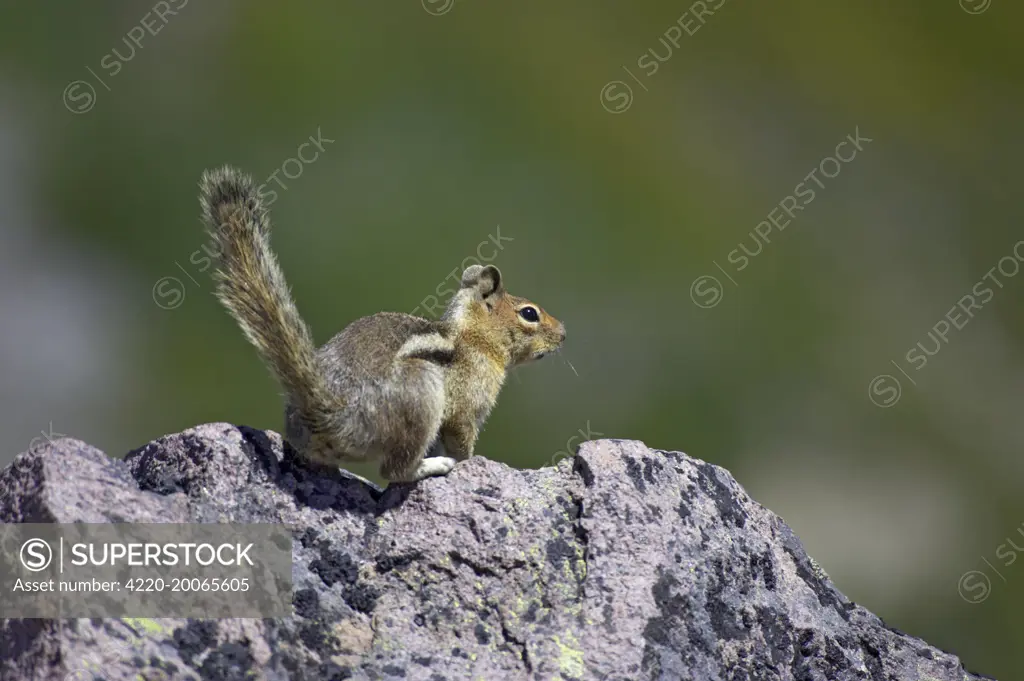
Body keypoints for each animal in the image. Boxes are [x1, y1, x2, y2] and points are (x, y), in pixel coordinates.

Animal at [197, 166, 569, 481]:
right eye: (530, 313)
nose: (564, 334)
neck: (473, 338)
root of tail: (329, 413)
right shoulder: (466, 407)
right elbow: (461, 439)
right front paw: (471, 461)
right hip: (420, 391)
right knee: (395, 470)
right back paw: (433, 466)